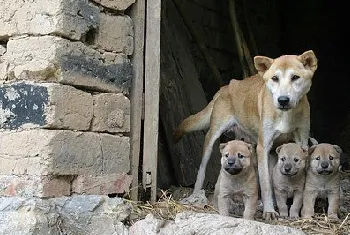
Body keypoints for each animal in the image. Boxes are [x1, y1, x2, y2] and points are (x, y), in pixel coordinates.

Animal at [174, 50, 318, 220]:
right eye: (274, 78)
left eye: (295, 77)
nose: (283, 100)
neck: (286, 115)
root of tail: (226, 87)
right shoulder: (263, 147)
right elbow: (266, 184)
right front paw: (269, 211)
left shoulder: (301, 142)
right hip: (212, 137)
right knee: (202, 169)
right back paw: (196, 195)